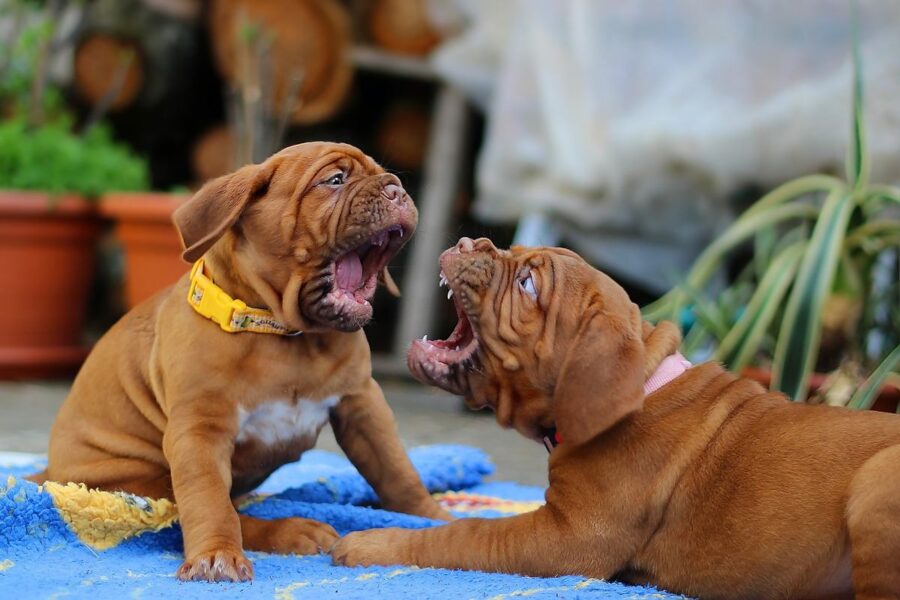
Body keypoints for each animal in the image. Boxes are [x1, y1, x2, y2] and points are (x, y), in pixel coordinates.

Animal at [33, 142, 450, 580]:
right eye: (334, 180)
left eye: (387, 176)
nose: (397, 189)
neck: (287, 335)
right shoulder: (200, 429)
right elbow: (209, 501)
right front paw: (216, 555)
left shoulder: (363, 404)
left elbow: (397, 470)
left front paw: (434, 518)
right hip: (136, 478)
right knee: (198, 511)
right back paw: (292, 530)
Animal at [334, 238, 900, 600]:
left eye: (527, 284)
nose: (469, 238)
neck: (641, 386)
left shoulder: (568, 538)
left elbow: (463, 536)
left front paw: (371, 544)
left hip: (877, 481)